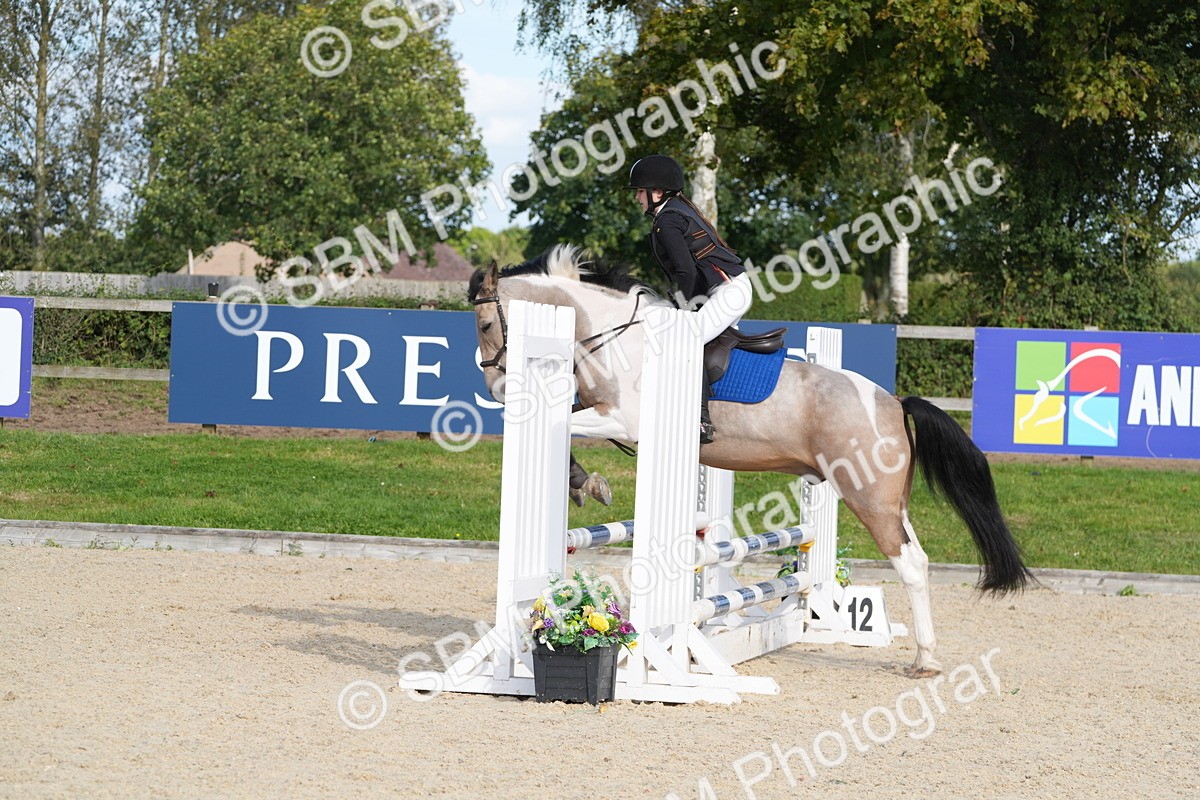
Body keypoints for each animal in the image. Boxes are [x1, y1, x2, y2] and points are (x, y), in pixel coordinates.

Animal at [468, 245, 1032, 677]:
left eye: (484, 323)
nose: (497, 390)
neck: (613, 335)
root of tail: (893, 402)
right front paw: (585, 484)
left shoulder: (624, 421)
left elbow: (564, 426)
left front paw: (588, 484)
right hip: (892, 500)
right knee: (918, 558)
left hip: (870, 497)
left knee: (910, 564)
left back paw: (925, 660)